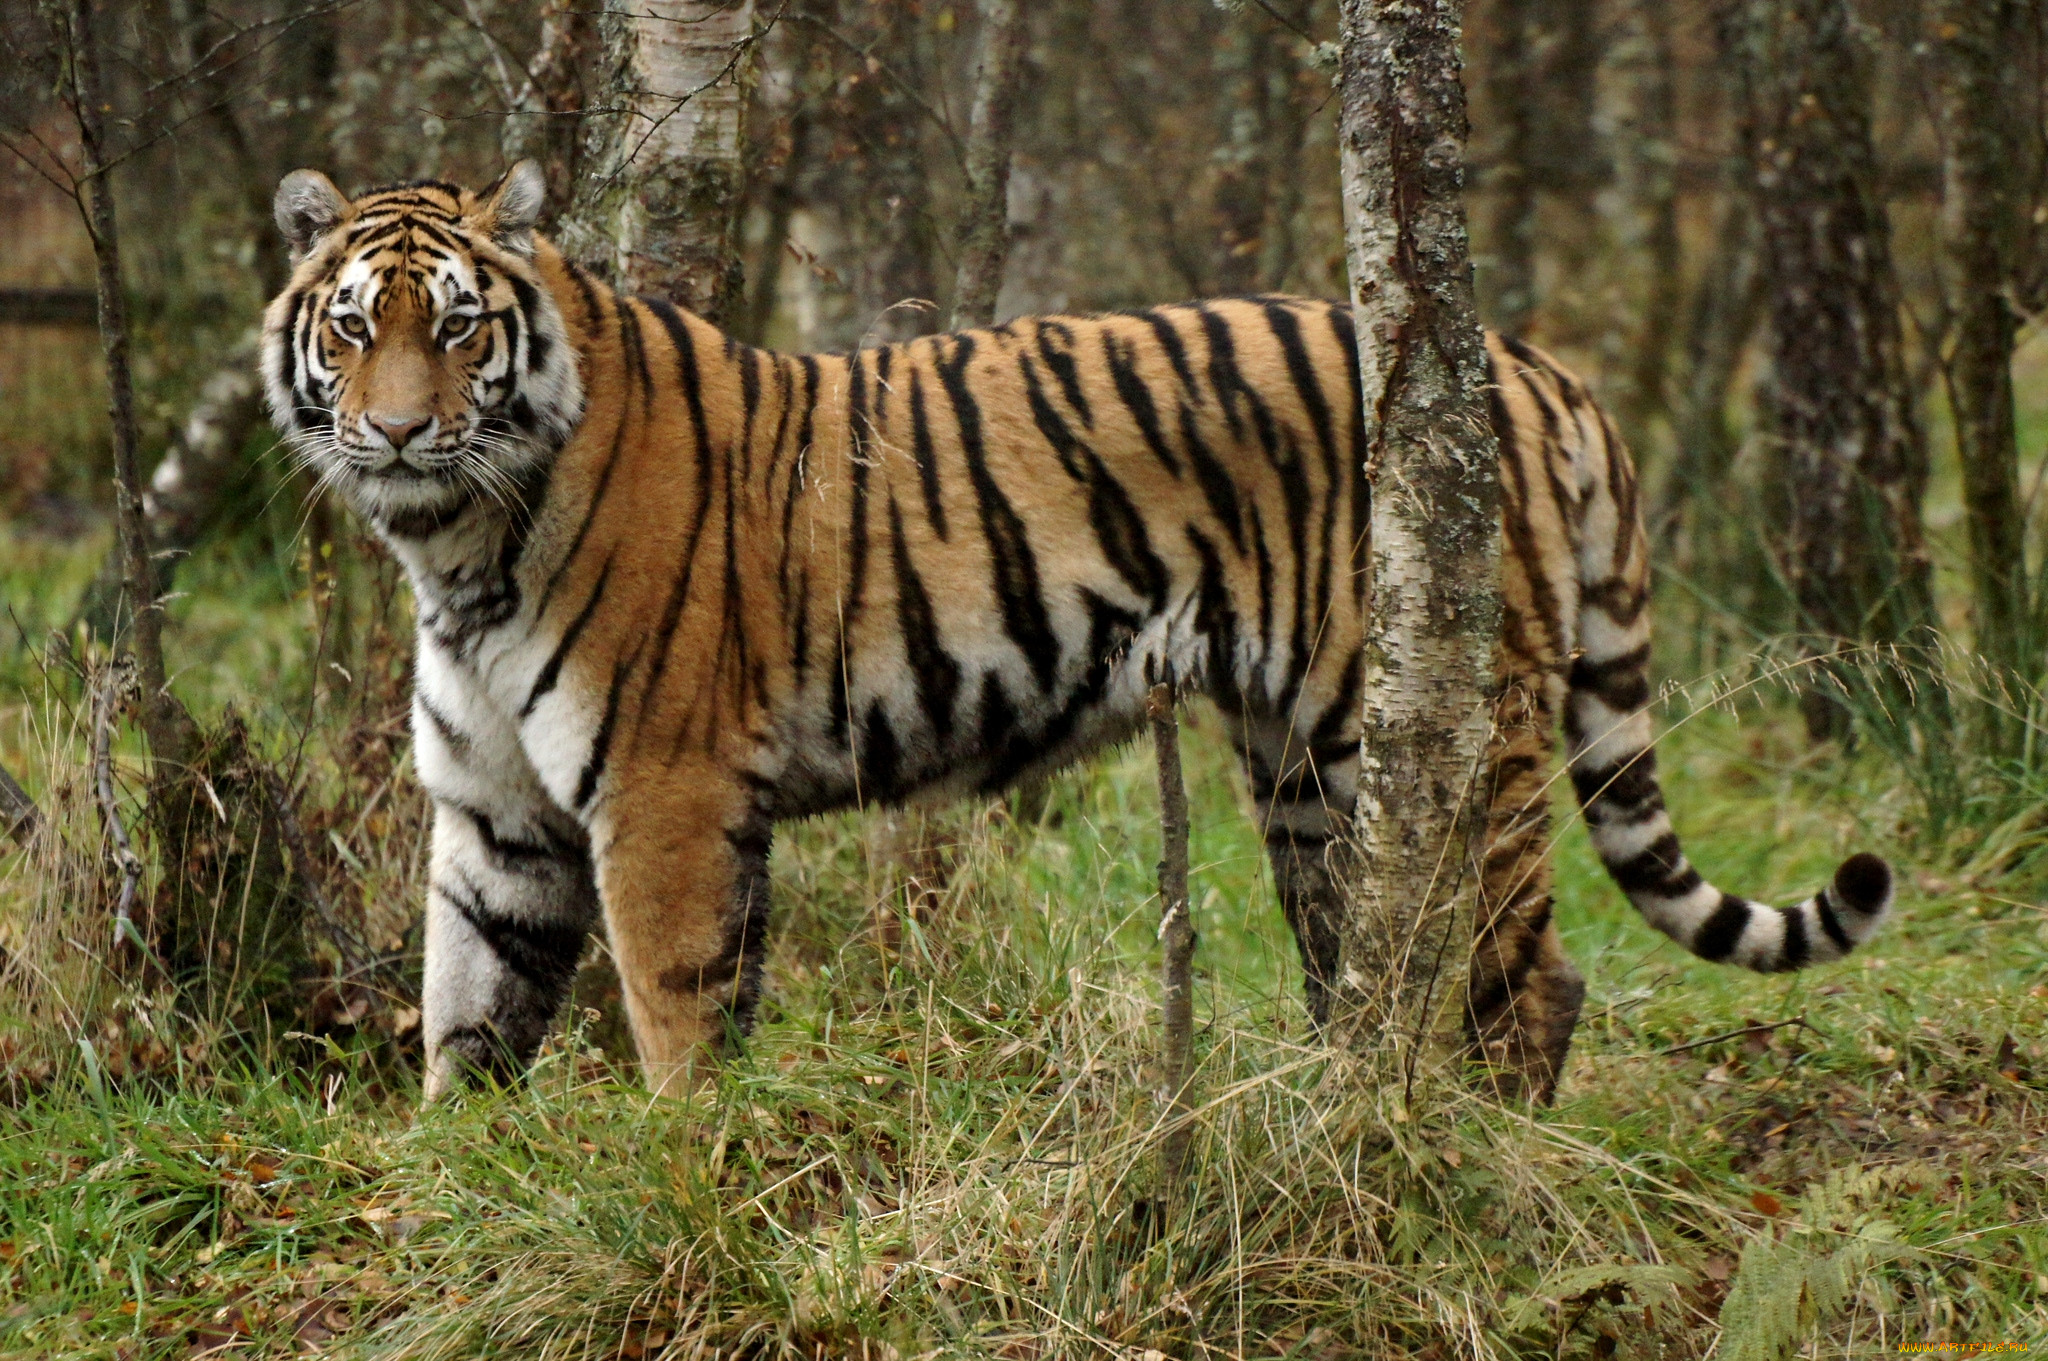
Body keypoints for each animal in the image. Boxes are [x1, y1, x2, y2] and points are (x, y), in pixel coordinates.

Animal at [264, 161, 1892, 1105]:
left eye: (459, 327)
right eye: (351, 328)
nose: (395, 432)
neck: (453, 544)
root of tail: (1528, 361)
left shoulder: (662, 792)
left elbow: (673, 1019)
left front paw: (688, 1191)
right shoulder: (495, 813)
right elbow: (463, 1012)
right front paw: (455, 1191)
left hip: (1449, 735)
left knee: (1526, 979)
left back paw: (1466, 1163)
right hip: (1304, 774)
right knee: (1358, 965)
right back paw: (1333, 1120)